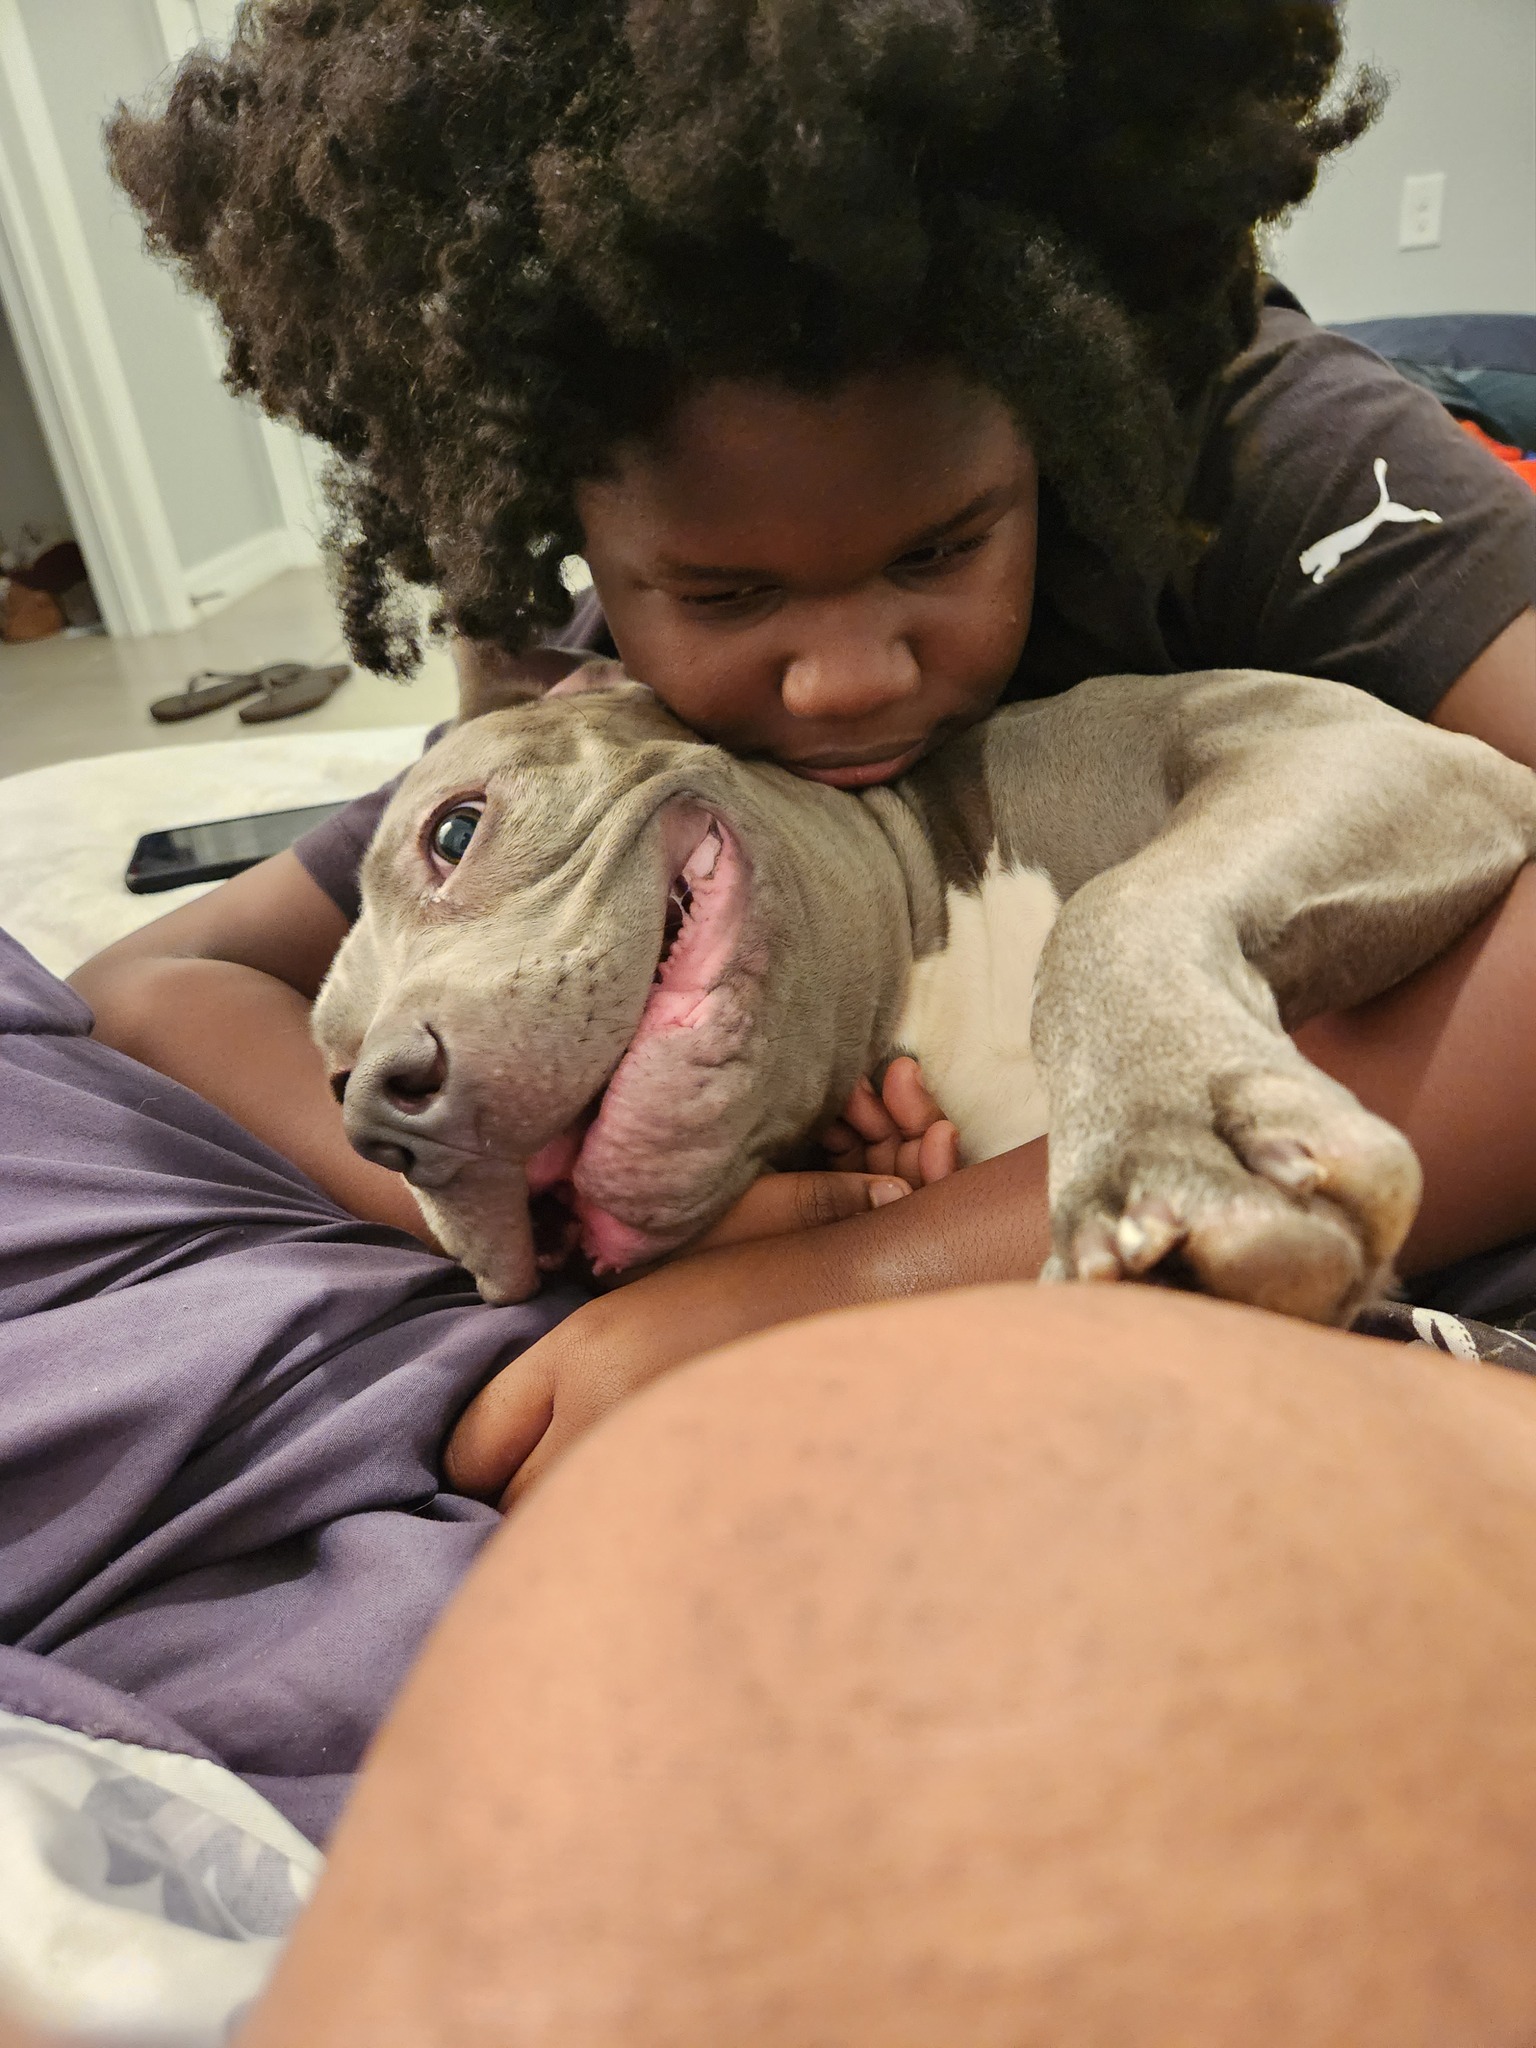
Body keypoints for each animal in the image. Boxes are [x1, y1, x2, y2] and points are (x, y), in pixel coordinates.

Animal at [309, 663, 1536, 1318]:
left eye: (454, 830)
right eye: (331, 1070)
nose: (373, 1115)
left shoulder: (1366, 748)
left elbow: (1106, 908)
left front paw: (1163, 1141)